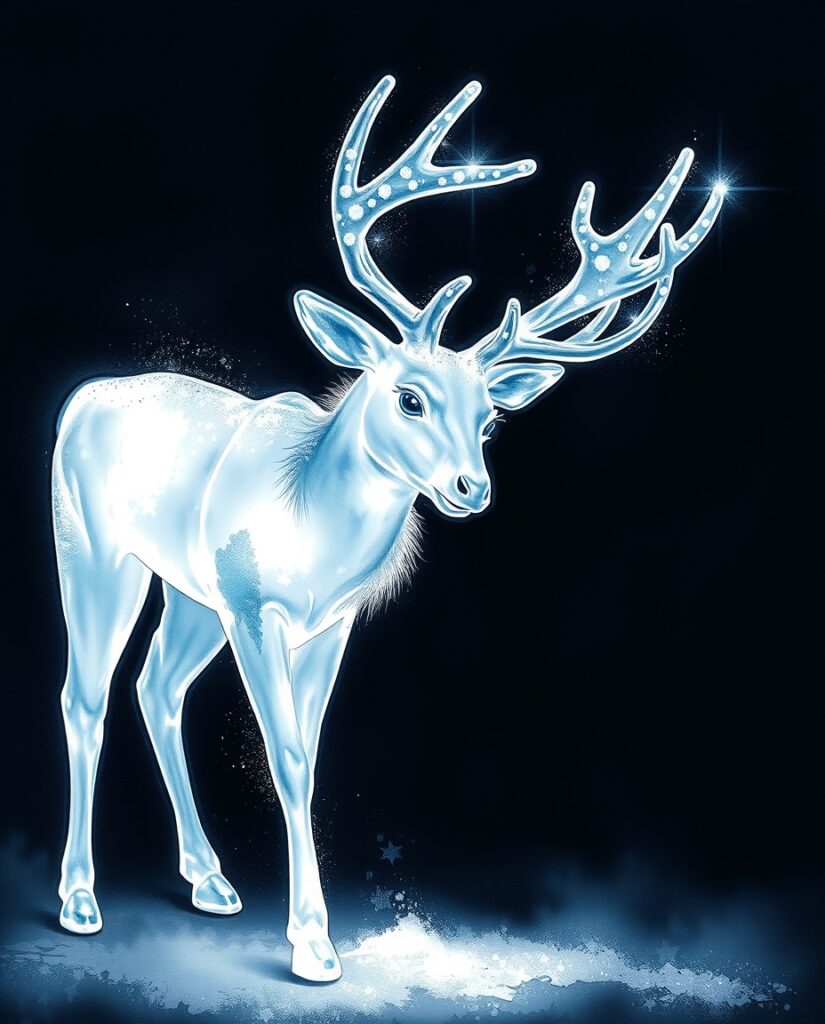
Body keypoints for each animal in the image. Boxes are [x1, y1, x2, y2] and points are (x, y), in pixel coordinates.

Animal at [51, 75, 724, 981]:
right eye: (409, 396)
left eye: (488, 418)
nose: (471, 488)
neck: (307, 527)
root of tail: (79, 399)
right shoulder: (255, 608)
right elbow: (286, 757)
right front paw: (313, 947)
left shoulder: (328, 623)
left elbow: (309, 758)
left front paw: (305, 929)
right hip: (95, 550)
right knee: (82, 695)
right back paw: (79, 898)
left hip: (192, 593)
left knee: (156, 687)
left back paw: (211, 880)